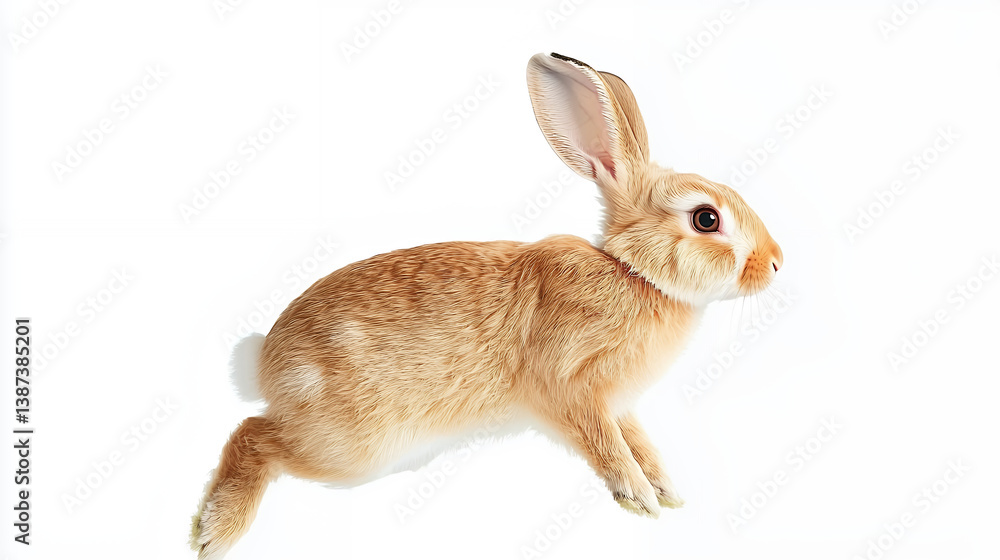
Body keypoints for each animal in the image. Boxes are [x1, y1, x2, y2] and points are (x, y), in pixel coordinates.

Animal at [191, 52, 783, 559]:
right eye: (706, 219)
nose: (776, 262)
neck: (634, 274)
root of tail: (264, 365)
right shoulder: (570, 386)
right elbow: (606, 446)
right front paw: (638, 496)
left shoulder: (619, 403)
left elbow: (637, 440)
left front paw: (665, 489)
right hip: (350, 448)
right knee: (252, 436)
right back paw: (214, 531)